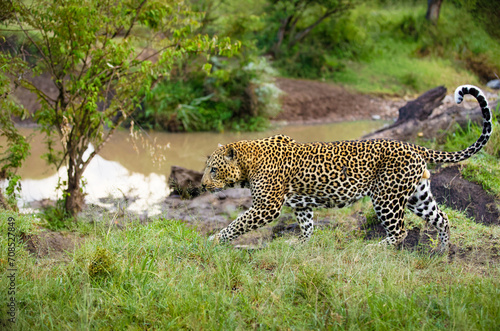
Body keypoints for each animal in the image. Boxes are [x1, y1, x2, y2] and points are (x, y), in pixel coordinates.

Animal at [201, 84, 494, 253]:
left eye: (213, 169)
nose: (202, 185)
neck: (248, 164)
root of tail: (413, 146)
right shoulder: (301, 204)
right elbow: (307, 226)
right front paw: (300, 245)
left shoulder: (266, 207)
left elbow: (237, 224)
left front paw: (213, 240)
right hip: (416, 196)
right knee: (442, 217)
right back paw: (443, 251)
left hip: (386, 197)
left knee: (400, 231)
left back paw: (375, 249)